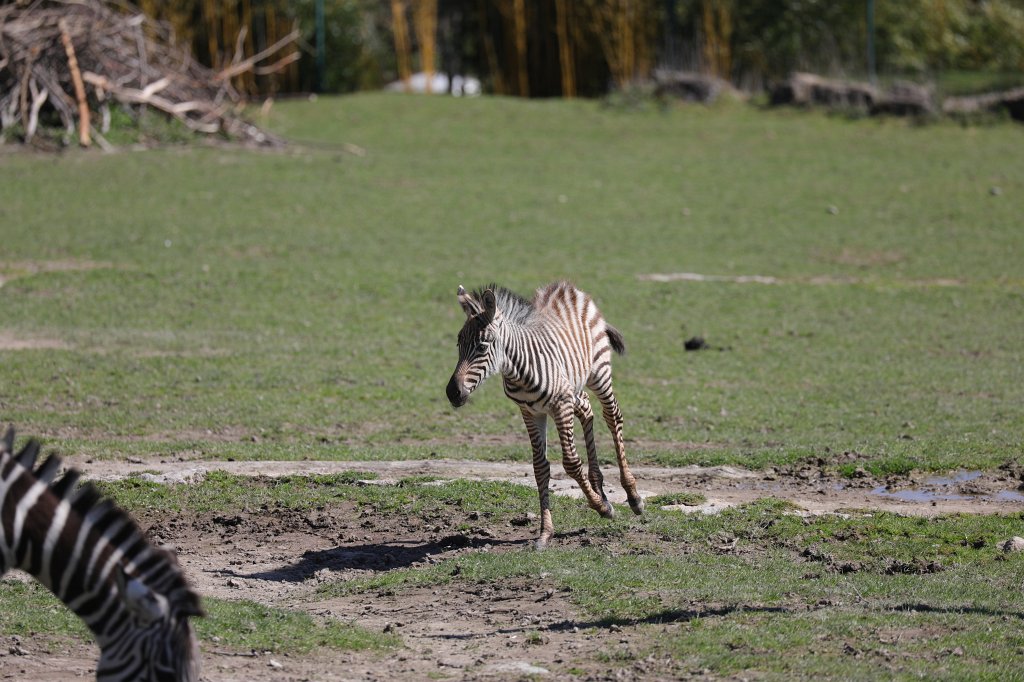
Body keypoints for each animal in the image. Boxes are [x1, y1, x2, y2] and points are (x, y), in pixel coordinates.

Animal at [446, 282, 643, 549]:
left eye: (481, 347)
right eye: (458, 344)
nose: (452, 393)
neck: (518, 369)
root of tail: (567, 287)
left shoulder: (560, 405)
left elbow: (571, 463)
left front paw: (602, 508)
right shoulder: (530, 411)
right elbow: (540, 467)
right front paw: (545, 533)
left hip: (598, 371)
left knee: (612, 416)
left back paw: (632, 496)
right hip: (573, 384)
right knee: (586, 408)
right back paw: (598, 486)